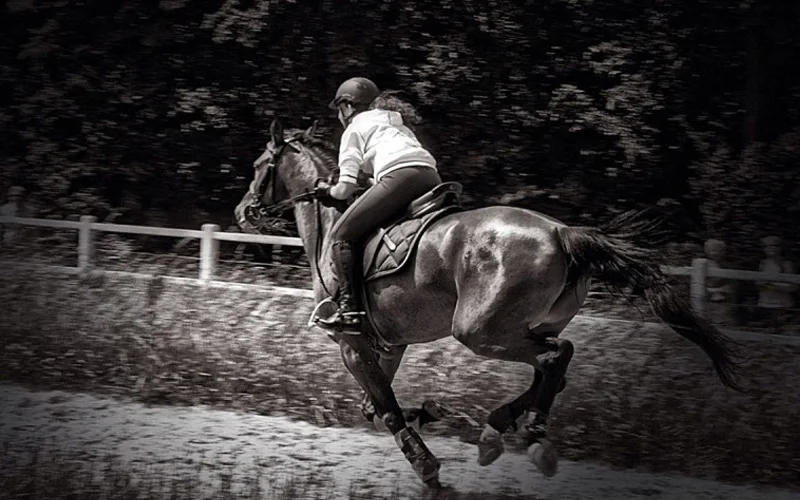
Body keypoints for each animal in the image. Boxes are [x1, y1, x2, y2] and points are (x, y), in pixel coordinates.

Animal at [233, 119, 744, 490]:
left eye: (258, 165)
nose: (242, 212)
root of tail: (562, 232)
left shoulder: (351, 343)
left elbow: (387, 409)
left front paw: (427, 467)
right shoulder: (389, 344)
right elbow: (374, 407)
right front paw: (430, 413)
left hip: (480, 331)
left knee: (555, 358)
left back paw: (530, 435)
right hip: (523, 326)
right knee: (555, 367)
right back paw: (499, 429)